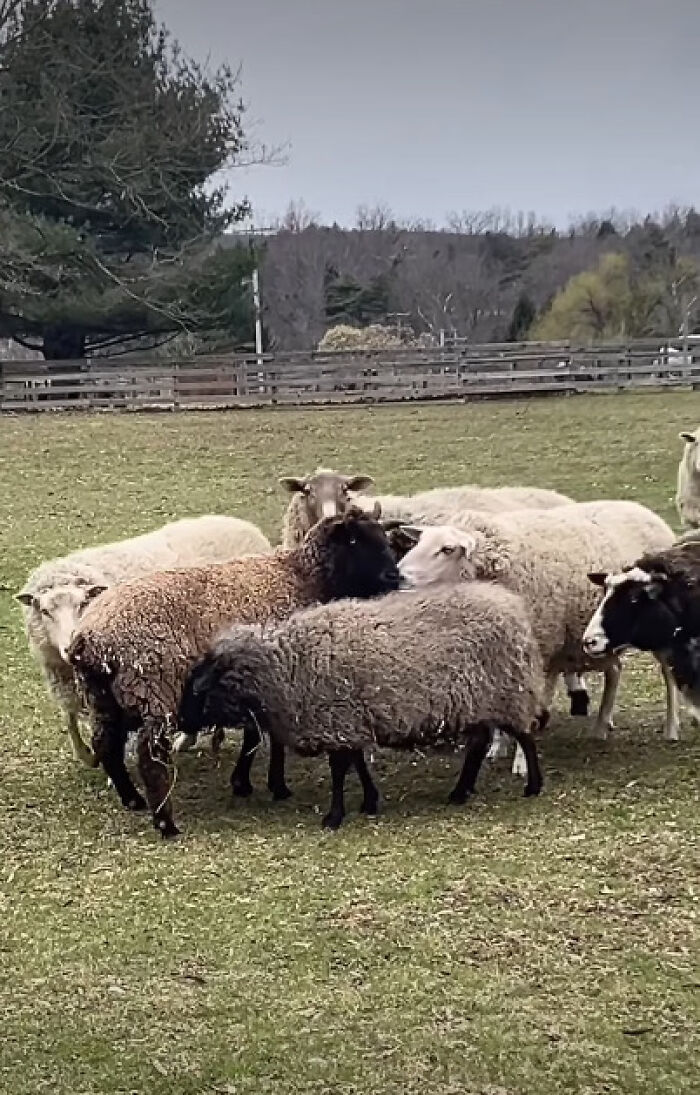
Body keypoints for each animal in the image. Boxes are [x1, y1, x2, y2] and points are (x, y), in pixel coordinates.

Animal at [16, 515, 271, 767]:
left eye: (82, 604)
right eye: (45, 611)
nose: (69, 649)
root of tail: (247, 526)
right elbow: (68, 718)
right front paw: (85, 754)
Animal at [67, 507, 400, 838]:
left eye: (383, 536)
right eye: (354, 540)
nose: (394, 576)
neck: (301, 577)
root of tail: (91, 638)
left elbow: (263, 734)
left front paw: (257, 783)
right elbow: (261, 735)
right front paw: (267, 784)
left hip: (103, 698)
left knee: (106, 745)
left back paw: (131, 799)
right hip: (152, 690)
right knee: (150, 757)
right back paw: (165, 822)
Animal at [178, 582, 545, 829]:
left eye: (199, 688)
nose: (180, 721)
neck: (287, 667)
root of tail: (513, 606)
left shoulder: (338, 719)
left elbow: (340, 771)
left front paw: (333, 817)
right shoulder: (351, 721)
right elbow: (357, 764)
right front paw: (370, 801)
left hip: (508, 693)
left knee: (525, 737)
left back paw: (533, 786)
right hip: (478, 703)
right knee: (480, 744)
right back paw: (461, 791)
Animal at [396, 500, 679, 769]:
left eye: (446, 549)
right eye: (419, 542)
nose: (399, 575)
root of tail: (641, 510)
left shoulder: (542, 653)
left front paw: (521, 762)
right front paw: (497, 748)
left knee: (668, 675)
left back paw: (671, 728)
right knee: (615, 669)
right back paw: (602, 725)